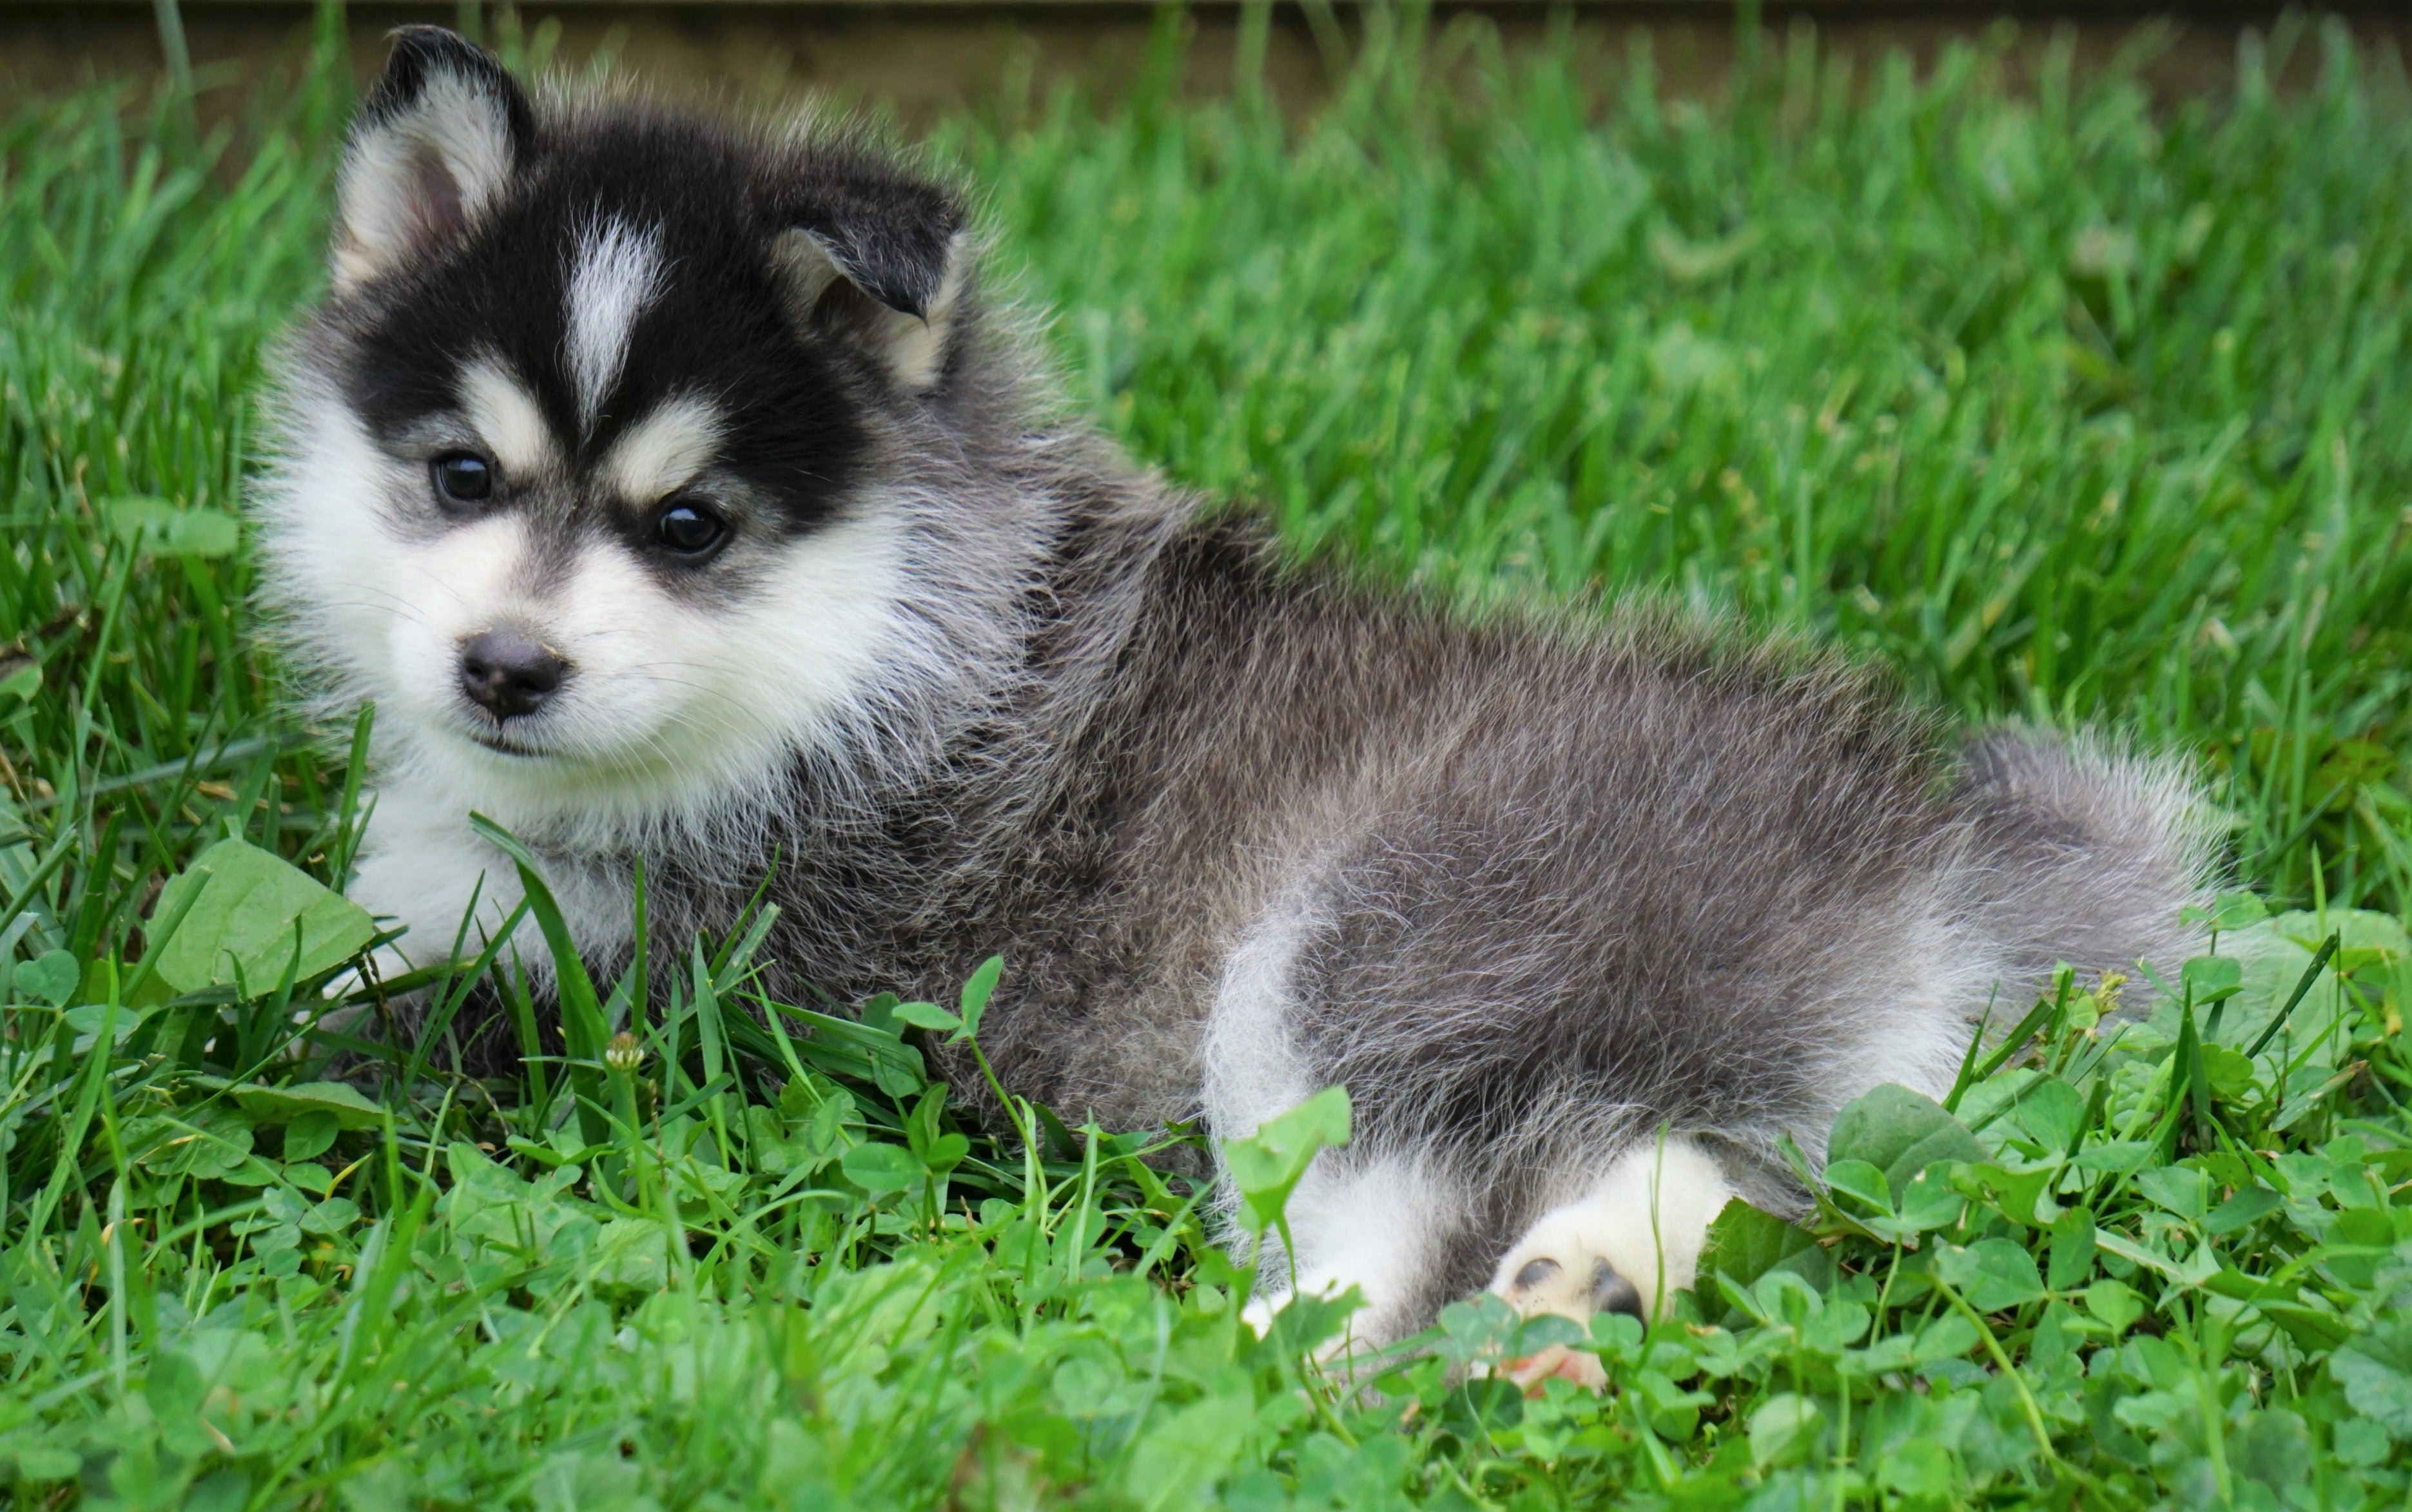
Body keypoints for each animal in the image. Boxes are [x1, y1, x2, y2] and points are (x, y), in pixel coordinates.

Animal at [254, 26, 2209, 1370]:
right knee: (1709, 1182)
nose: (505, 667)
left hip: (1387, 944)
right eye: (458, 474)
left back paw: (1248, 1356)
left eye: (687, 525)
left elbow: (318, 1028)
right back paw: (1576, 1299)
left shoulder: (670, 995)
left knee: (1395, 1235)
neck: (883, 653)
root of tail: (1934, 852)